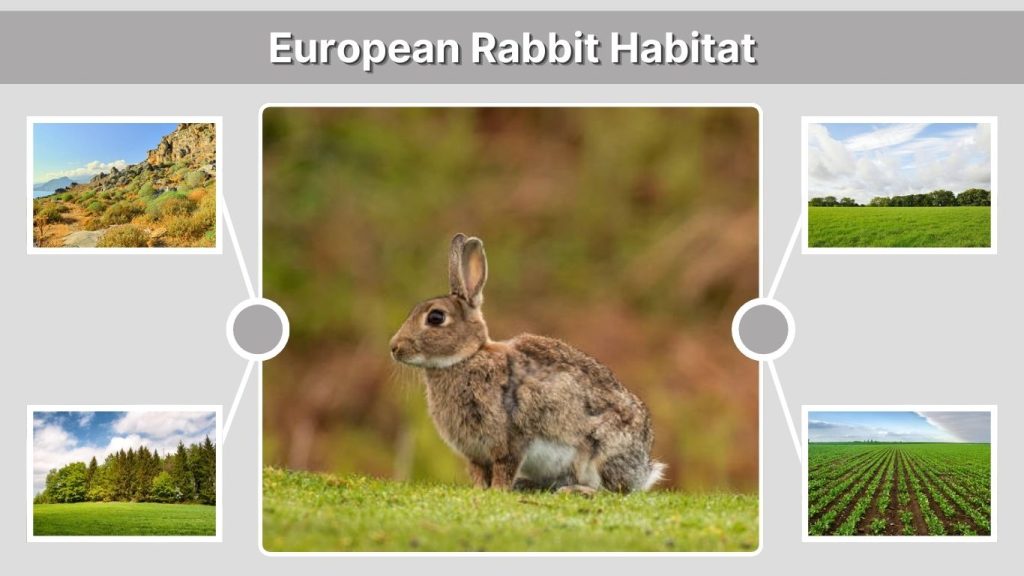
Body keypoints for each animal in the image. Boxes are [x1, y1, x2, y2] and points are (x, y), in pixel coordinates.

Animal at [389, 233, 665, 494]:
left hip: (601, 451)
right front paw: (480, 490)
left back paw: (576, 491)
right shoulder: (475, 453)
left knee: (612, 490)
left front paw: (498, 491)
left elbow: (505, 466)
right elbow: (478, 472)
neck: (467, 358)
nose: (394, 348)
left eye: (436, 317)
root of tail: (642, 471)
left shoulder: (512, 440)